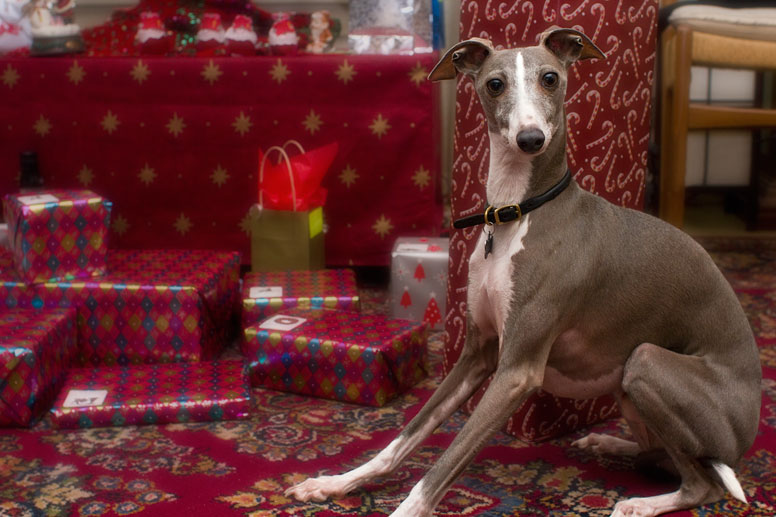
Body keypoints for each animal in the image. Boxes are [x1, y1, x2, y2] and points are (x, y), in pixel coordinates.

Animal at [286, 28, 764, 516]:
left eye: (550, 78)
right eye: (495, 84)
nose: (530, 138)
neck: (516, 213)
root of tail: (744, 438)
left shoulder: (516, 372)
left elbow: (440, 467)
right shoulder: (476, 356)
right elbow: (404, 438)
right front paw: (336, 482)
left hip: (646, 363)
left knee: (704, 483)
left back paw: (641, 502)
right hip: (629, 387)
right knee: (664, 457)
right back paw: (610, 443)